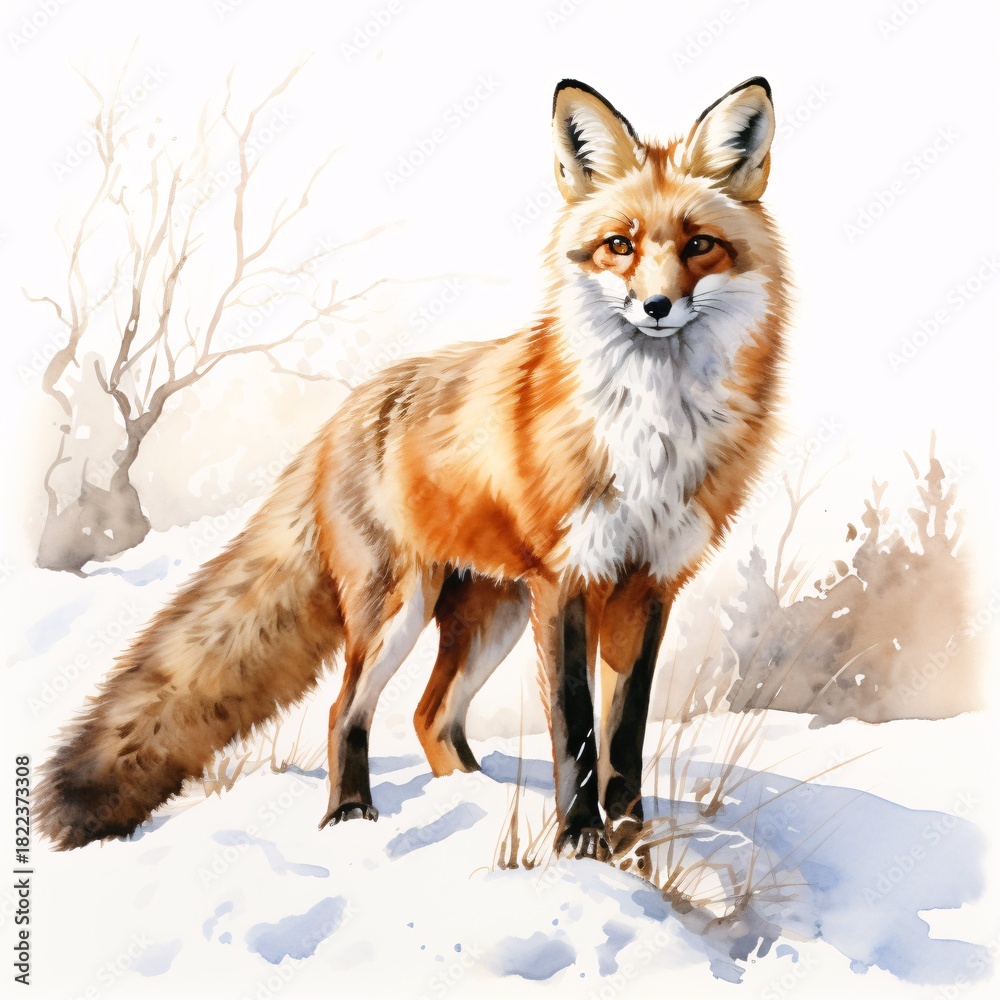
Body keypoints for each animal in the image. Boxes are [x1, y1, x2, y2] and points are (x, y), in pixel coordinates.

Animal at [37, 77, 789, 858]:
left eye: (700, 245)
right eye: (621, 245)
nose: (657, 305)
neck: (652, 430)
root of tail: (347, 410)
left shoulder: (649, 585)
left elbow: (625, 736)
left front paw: (633, 841)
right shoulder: (571, 582)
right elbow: (576, 732)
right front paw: (580, 840)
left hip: (492, 617)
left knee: (432, 716)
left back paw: (472, 796)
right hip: (400, 608)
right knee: (346, 709)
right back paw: (350, 814)